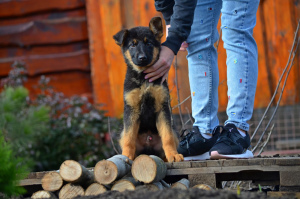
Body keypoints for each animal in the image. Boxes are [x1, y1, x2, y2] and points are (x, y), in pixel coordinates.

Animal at [112, 17, 183, 162]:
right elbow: (129, 138)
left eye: (148, 43)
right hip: (122, 132)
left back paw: (169, 157)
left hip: (174, 132)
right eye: (132, 45)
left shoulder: (162, 107)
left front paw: (173, 155)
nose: (142, 58)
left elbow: (167, 137)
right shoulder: (131, 109)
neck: (143, 77)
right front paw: (126, 156)